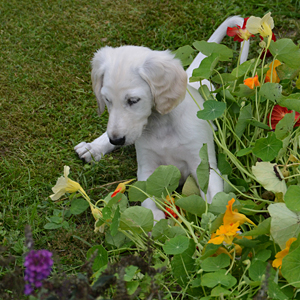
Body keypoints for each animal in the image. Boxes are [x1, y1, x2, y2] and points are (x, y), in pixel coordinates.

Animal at [75, 17, 248, 221]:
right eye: (107, 100)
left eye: (133, 100)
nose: (116, 140)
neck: (161, 125)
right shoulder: (148, 170)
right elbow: (148, 203)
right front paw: (155, 221)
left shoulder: (203, 166)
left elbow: (213, 201)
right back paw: (92, 147)